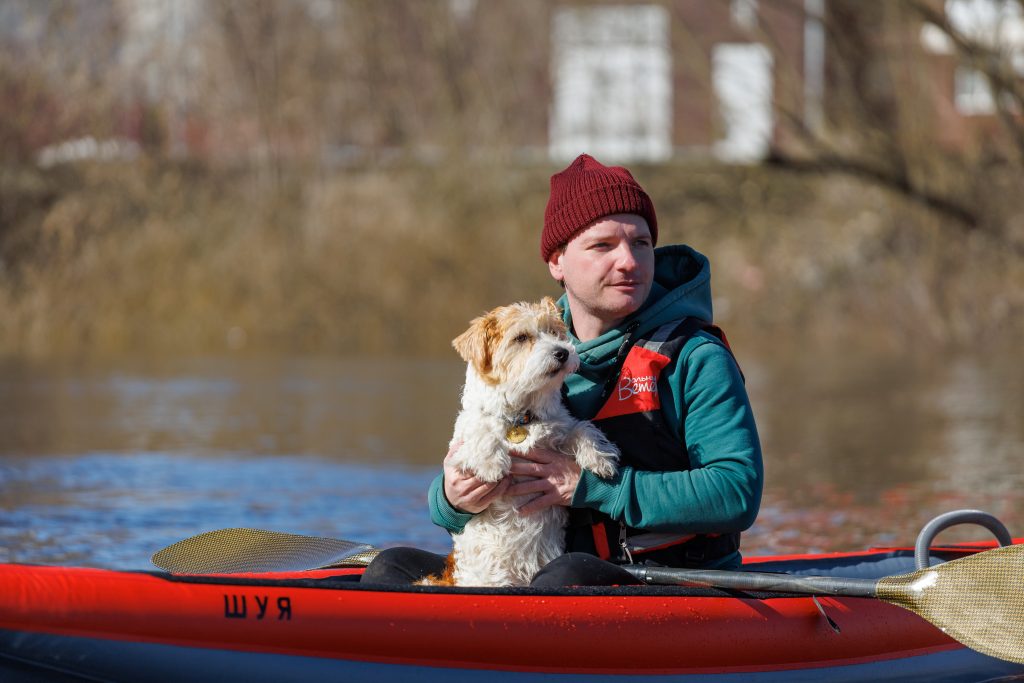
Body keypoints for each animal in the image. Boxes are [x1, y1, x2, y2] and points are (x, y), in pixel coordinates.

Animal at [430, 296, 614, 589]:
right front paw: (492, 464)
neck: (522, 415)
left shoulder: (560, 427)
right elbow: (480, 430)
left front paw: (600, 459)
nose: (562, 352)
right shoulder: (460, 447)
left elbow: (581, 429)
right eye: (521, 338)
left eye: (554, 332)